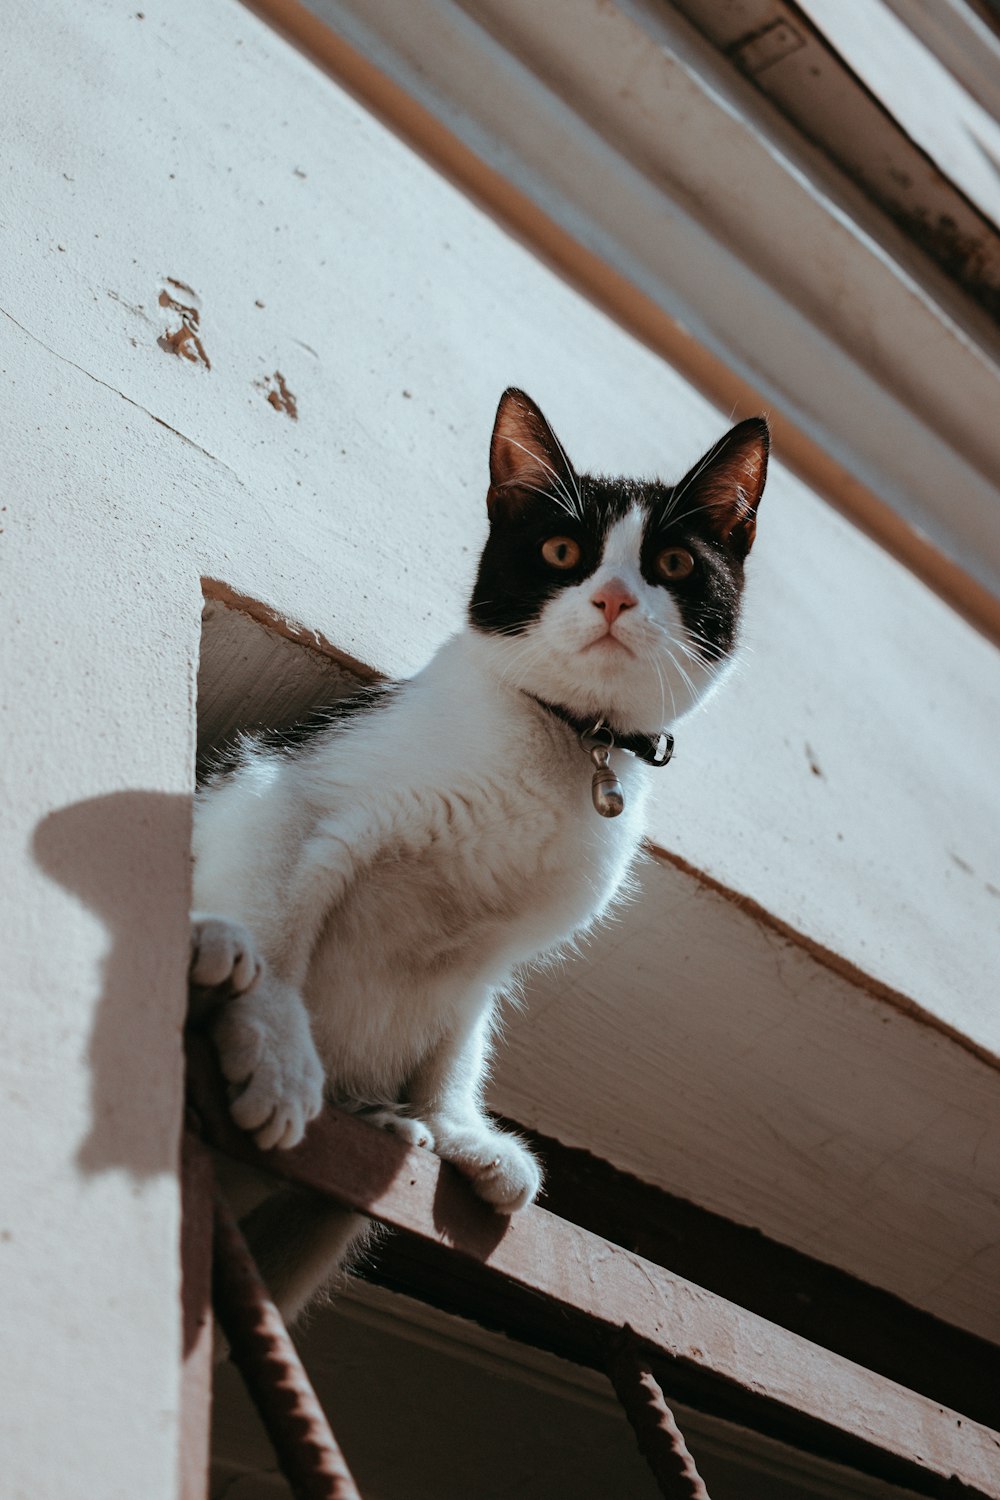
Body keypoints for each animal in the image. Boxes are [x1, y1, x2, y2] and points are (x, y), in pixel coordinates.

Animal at [189, 390, 767, 1326]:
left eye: (673, 563)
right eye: (563, 552)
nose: (614, 598)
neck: (573, 741)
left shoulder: (490, 952)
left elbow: (461, 1031)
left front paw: (458, 1128)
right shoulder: (293, 791)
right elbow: (284, 928)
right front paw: (278, 1054)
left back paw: (388, 1120)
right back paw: (221, 965)